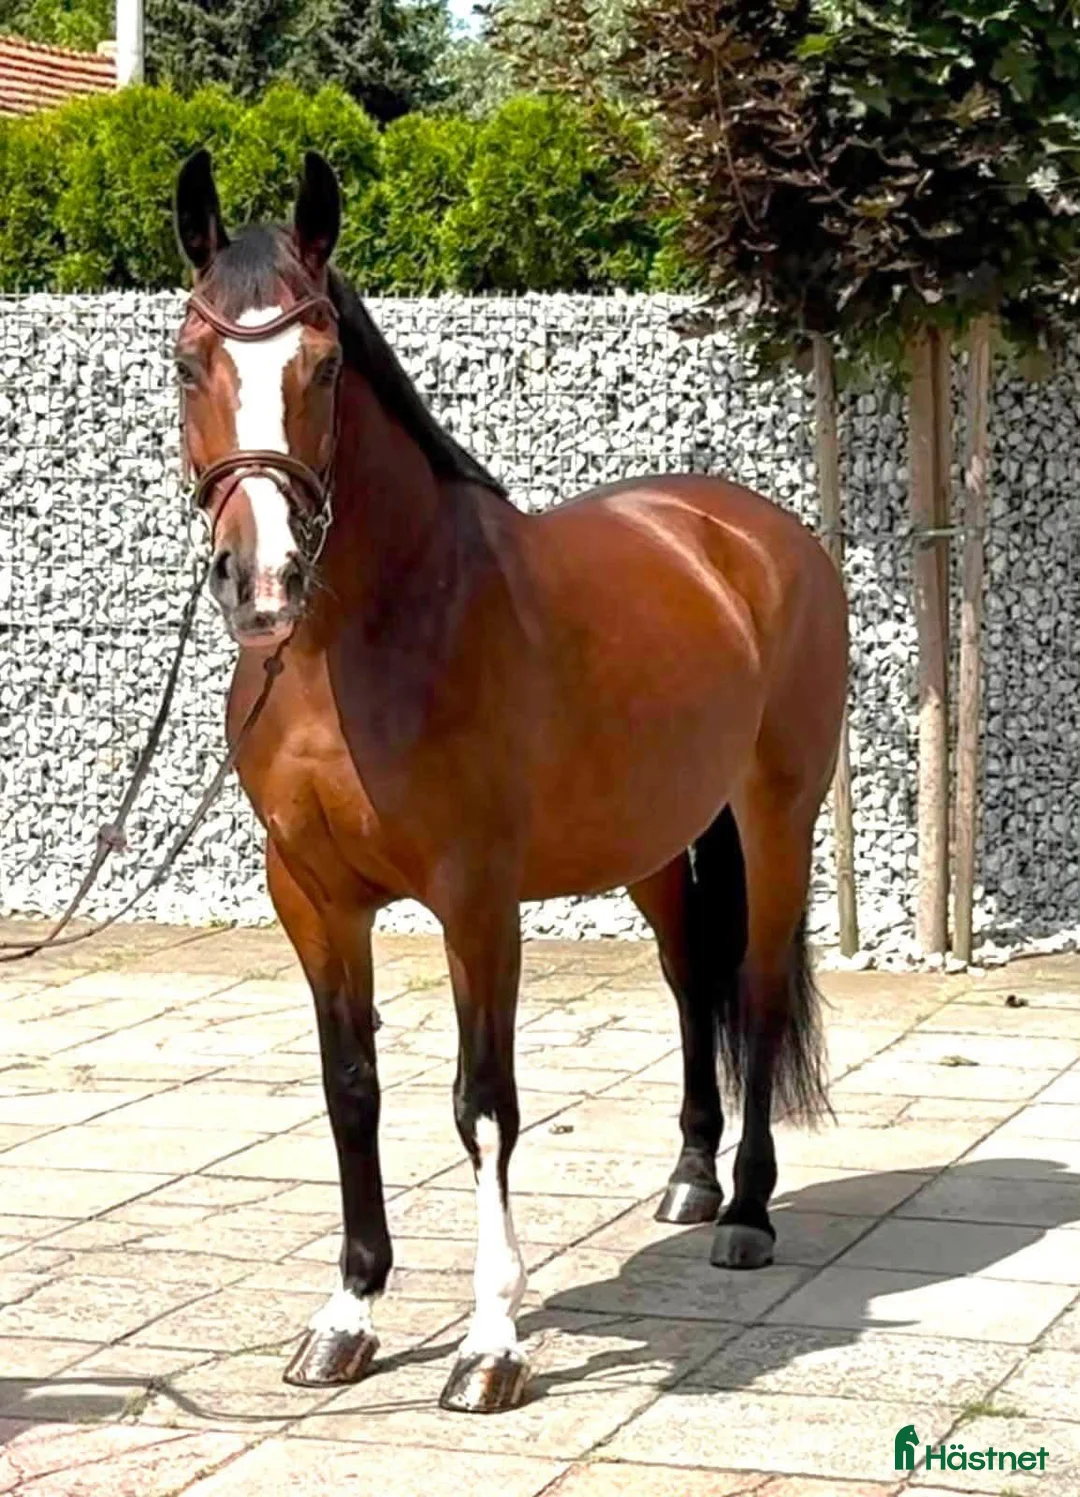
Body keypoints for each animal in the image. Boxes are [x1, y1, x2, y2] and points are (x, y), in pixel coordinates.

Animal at [171, 148, 848, 1415]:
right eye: (190, 359)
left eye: (324, 363)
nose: (262, 580)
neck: (360, 641)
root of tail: (752, 533)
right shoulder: (311, 896)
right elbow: (350, 1088)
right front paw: (347, 1317)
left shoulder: (476, 898)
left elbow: (482, 1104)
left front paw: (490, 1345)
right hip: (650, 842)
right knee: (692, 980)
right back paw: (690, 1179)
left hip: (779, 815)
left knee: (755, 987)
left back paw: (744, 1211)